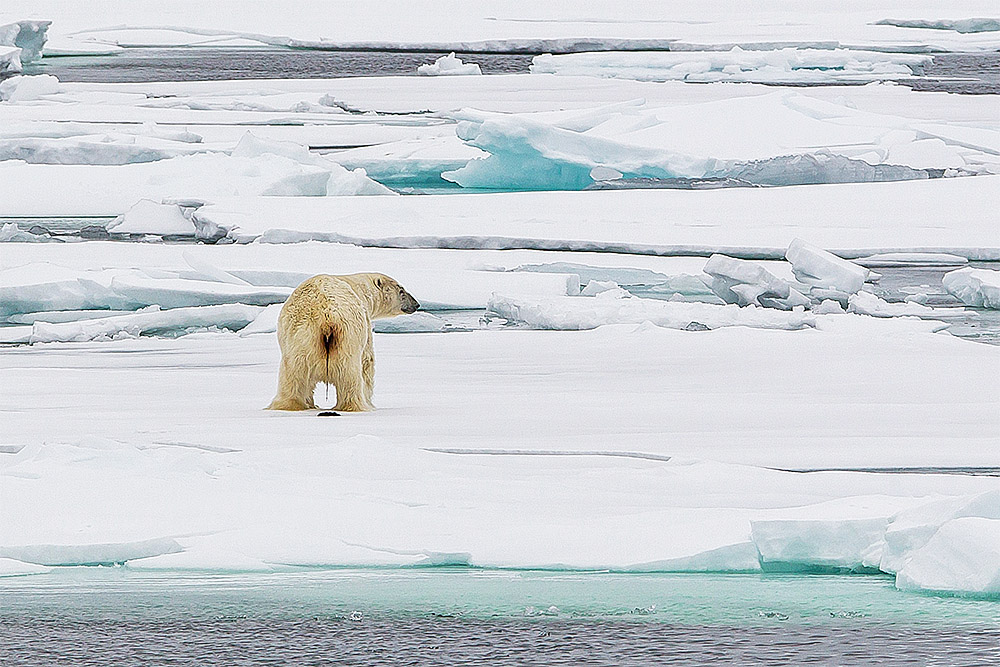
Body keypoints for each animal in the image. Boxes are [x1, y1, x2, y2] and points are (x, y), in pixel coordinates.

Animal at [266, 272, 418, 412]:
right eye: (401, 290)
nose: (416, 304)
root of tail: (326, 316)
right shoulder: (365, 321)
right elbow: (367, 361)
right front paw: (370, 403)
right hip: (347, 338)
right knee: (350, 375)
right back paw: (353, 405)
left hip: (299, 339)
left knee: (293, 374)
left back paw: (289, 404)